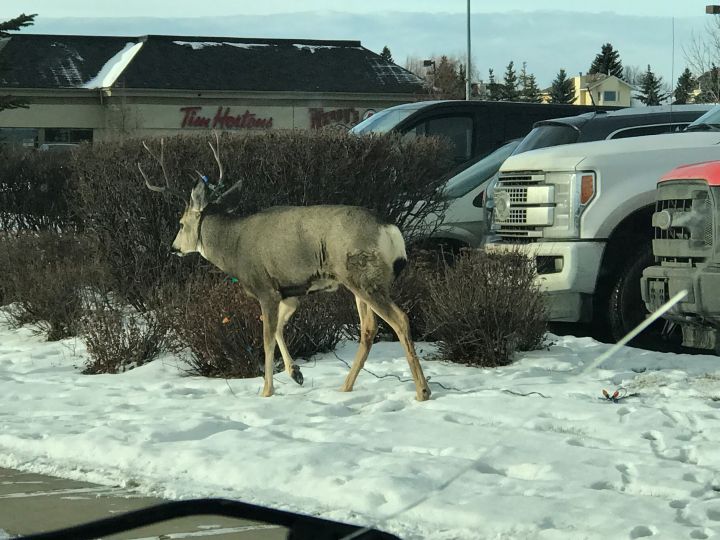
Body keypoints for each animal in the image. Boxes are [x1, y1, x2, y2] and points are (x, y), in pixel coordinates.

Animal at [138, 135, 431, 401]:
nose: (173, 247)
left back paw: (422, 391)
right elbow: (278, 328)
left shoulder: (265, 287)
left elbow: (266, 337)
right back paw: (345, 387)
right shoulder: (291, 291)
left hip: (363, 276)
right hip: (358, 282)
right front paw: (296, 373)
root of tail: (389, 229)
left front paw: (266, 391)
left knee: (399, 319)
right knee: (369, 329)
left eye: (180, 223)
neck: (233, 247)